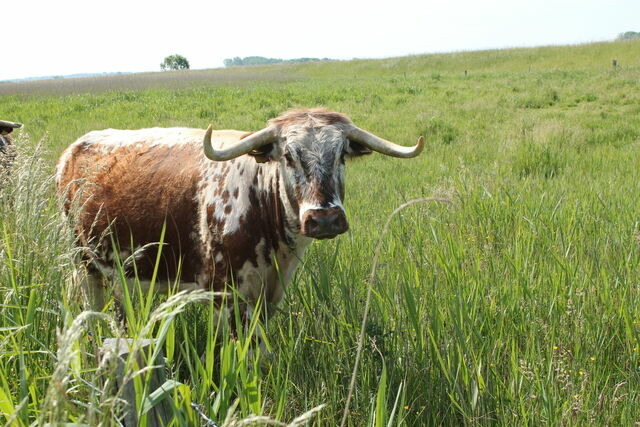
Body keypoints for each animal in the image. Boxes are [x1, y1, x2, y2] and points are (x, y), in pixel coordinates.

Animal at [56, 108, 424, 322]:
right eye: (287, 156)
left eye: (342, 154)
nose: (324, 220)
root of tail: (74, 148)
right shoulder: (223, 293)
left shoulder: (271, 292)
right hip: (85, 264)